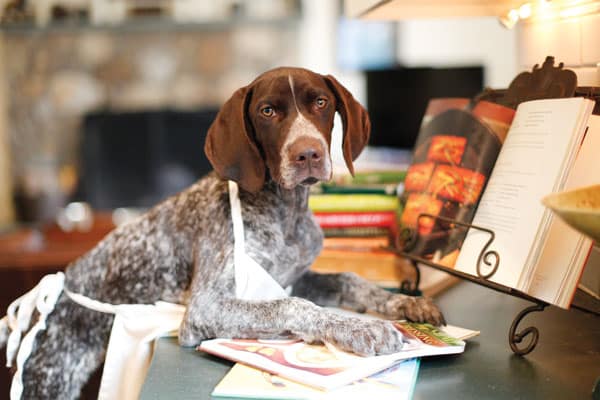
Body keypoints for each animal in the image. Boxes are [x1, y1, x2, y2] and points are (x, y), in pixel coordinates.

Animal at [1, 67, 446, 398]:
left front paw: (406, 304)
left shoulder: (294, 276)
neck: (284, 213)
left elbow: (350, 280)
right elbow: (294, 306)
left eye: (320, 102)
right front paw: (363, 328)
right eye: (268, 111)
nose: (307, 153)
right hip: (48, 379)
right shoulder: (208, 307)